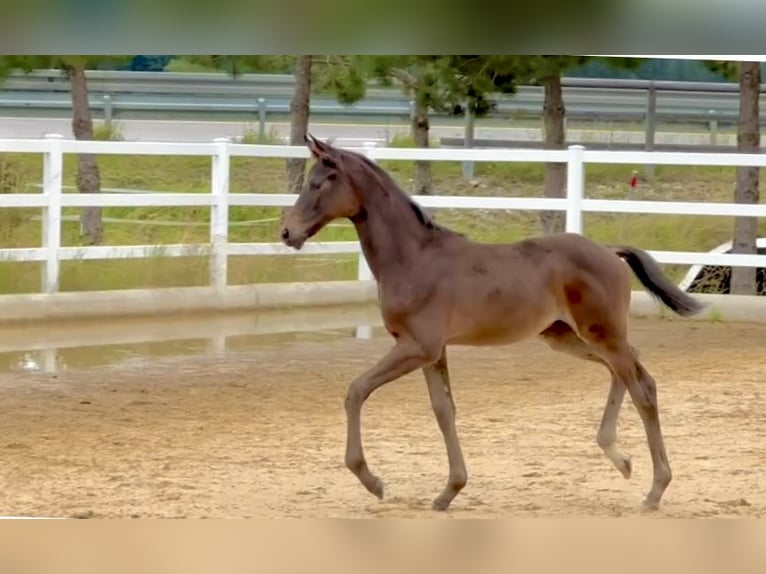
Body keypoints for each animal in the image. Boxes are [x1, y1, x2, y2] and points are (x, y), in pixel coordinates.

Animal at [280, 135, 704, 512]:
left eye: (317, 183)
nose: (286, 232)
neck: (414, 258)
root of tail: (608, 251)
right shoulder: (433, 352)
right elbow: (443, 410)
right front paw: (449, 491)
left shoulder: (417, 346)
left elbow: (356, 390)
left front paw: (373, 481)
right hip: (569, 337)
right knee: (631, 371)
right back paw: (621, 458)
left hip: (600, 333)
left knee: (642, 388)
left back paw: (655, 490)